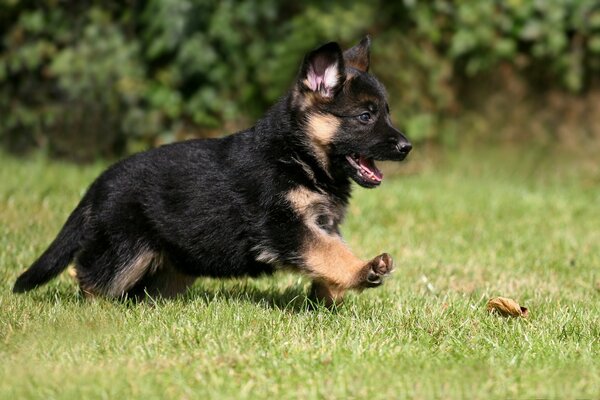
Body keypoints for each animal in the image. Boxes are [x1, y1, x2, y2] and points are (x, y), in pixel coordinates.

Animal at [14, 38, 410, 306]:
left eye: (386, 112)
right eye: (365, 116)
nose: (407, 147)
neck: (296, 155)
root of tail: (98, 184)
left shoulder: (320, 224)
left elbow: (330, 252)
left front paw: (330, 294)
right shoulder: (285, 226)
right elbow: (328, 253)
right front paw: (363, 271)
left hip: (171, 264)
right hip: (125, 251)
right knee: (90, 276)